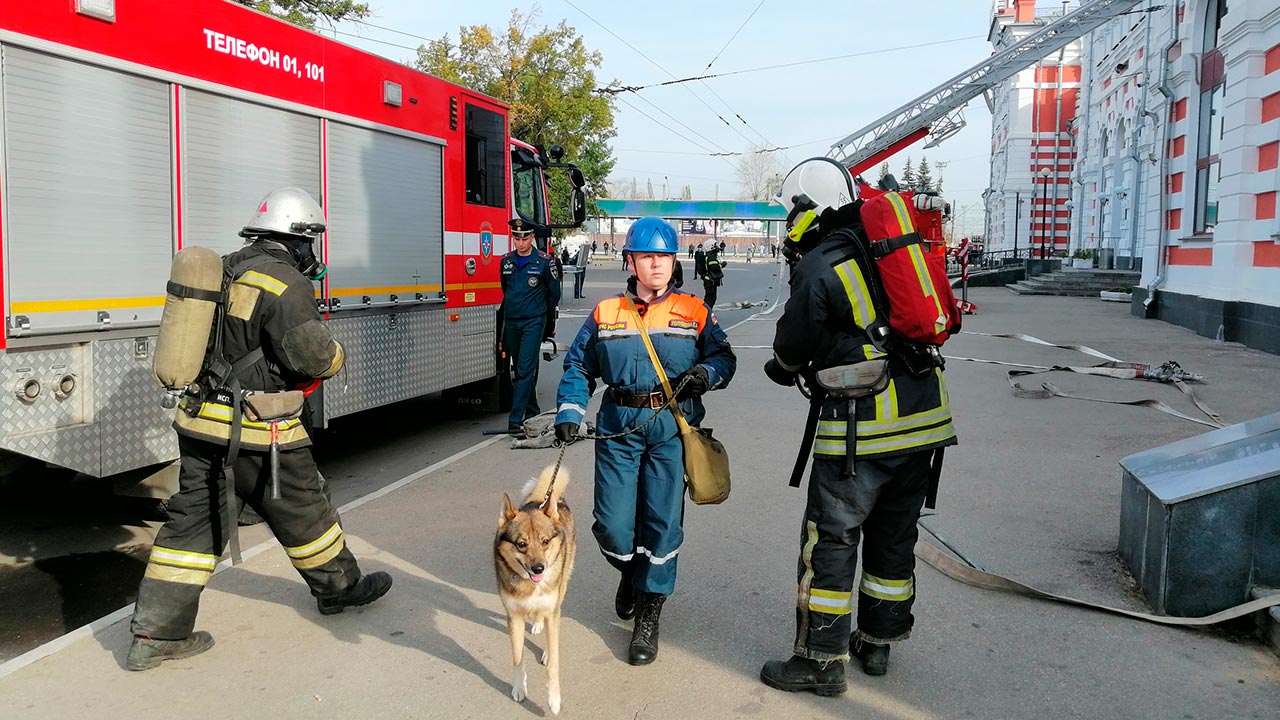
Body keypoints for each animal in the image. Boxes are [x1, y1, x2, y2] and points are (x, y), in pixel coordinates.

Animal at [494, 466, 576, 712]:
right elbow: (517, 657)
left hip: (561, 589)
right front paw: (519, 688)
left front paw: (554, 699)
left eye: (545, 541)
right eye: (521, 544)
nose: (539, 568)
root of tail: (545, 499)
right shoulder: (514, 617)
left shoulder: (551, 608)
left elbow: (554, 662)